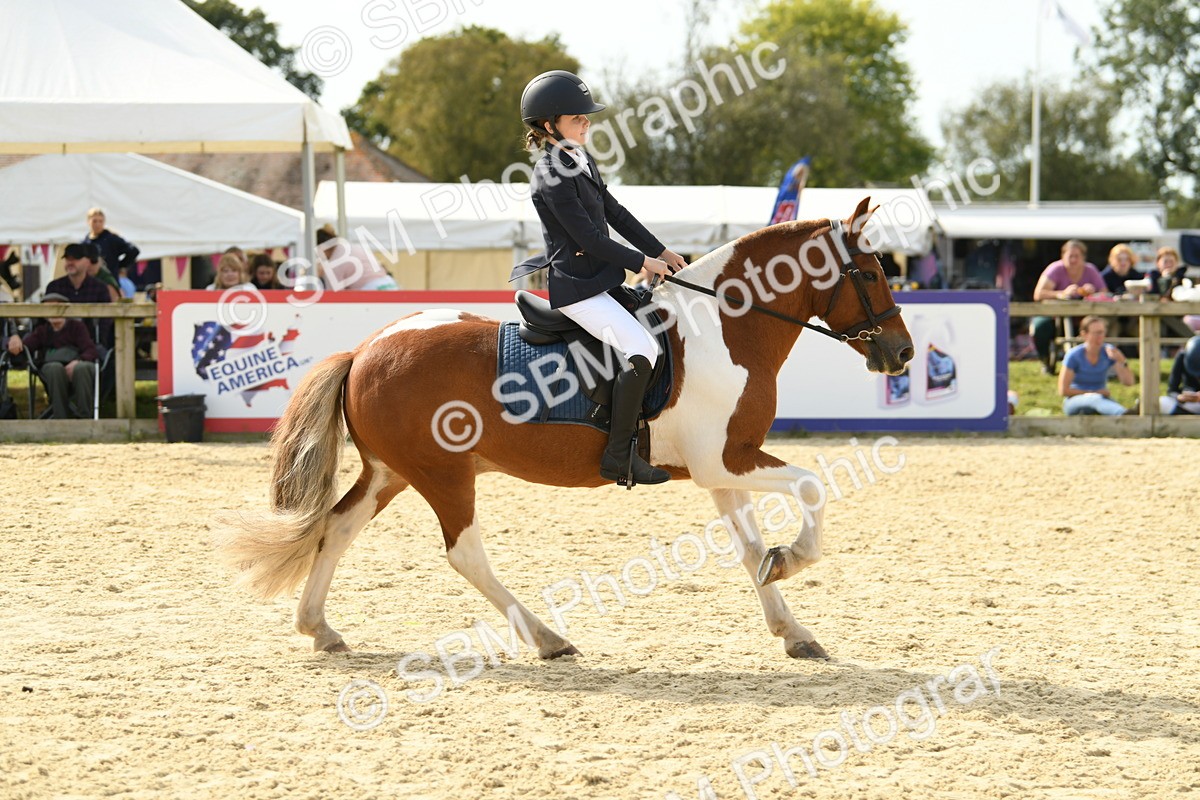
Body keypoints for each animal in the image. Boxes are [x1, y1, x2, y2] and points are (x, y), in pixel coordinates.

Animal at [216, 197, 914, 661]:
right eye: (872, 272)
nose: (902, 353)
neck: (726, 326)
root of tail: (365, 349)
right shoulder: (727, 459)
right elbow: (812, 488)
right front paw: (791, 559)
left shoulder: (720, 471)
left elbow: (748, 550)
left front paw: (792, 627)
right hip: (444, 474)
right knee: (465, 553)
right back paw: (548, 637)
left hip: (392, 472)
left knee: (337, 528)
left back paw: (320, 628)